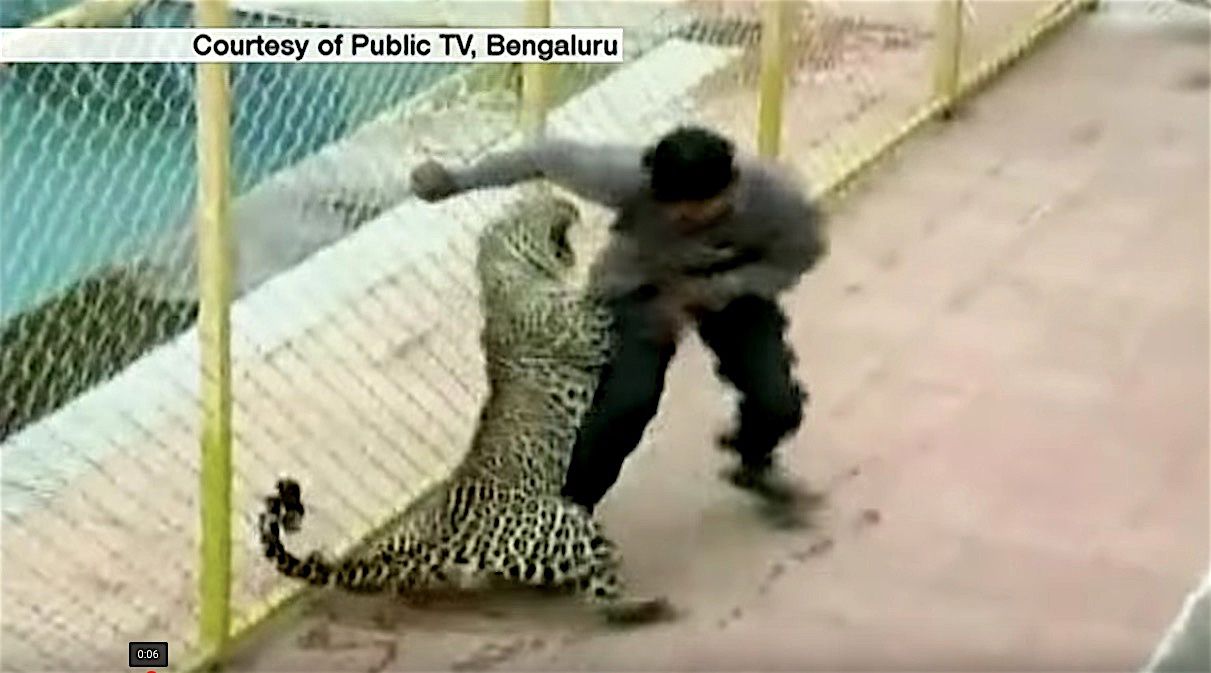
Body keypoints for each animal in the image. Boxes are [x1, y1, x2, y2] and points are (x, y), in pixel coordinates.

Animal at [257, 187, 673, 624]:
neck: (507, 274)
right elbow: (599, 302)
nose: (566, 200)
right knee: (600, 587)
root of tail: (431, 531)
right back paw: (644, 606)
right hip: (563, 528)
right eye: (533, 202)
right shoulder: (588, 329)